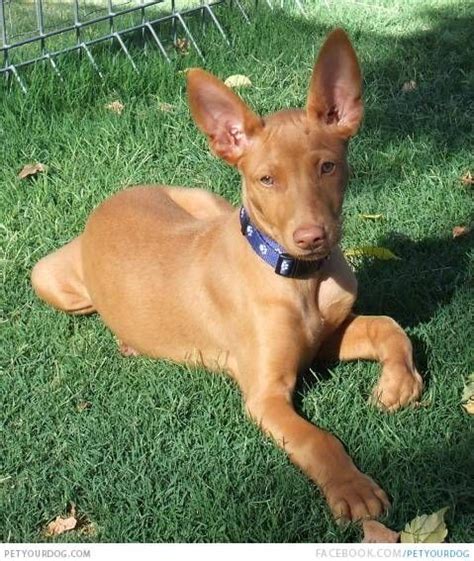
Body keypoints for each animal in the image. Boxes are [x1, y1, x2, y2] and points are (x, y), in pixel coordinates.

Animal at [30, 29, 422, 520]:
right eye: (266, 179)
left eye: (327, 166)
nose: (312, 237)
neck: (301, 277)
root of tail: (109, 201)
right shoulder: (266, 395)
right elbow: (318, 441)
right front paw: (352, 487)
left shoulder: (325, 340)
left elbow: (387, 325)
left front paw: (398, 382)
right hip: (46, 278)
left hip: (206, 203)